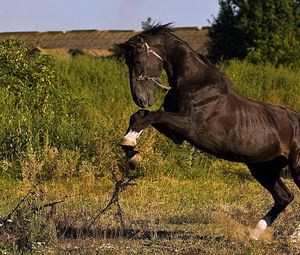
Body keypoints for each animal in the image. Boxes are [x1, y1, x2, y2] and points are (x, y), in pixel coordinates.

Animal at [116, 22, 300, 240]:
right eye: (127, 62)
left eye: (137, 59)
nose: (140, 98)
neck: (194, 82)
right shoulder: (177, 135)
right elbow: (141, 116)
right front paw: (131, 150)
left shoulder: (189, 125)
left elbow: (153, 115)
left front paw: (130, 144)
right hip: (263, 168)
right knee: (284, 197)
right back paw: (256, 233)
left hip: (295, 167)